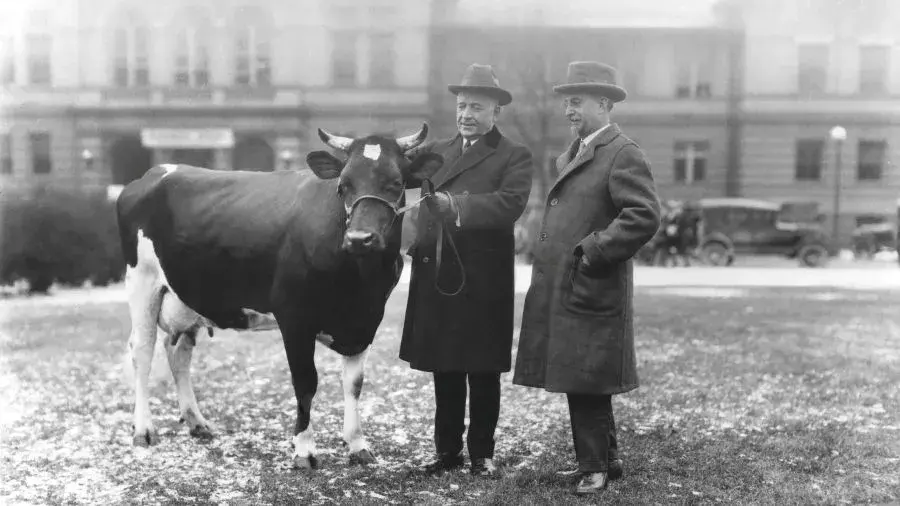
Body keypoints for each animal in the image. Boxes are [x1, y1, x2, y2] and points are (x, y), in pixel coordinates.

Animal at [115, 124, 443, 469]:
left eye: (395, 183)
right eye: (342, 186)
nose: (359, 238)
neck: (359, 283)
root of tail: (153, 173)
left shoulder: (366, 320)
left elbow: (354, 384)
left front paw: (357, 445)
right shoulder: (294, 317)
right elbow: (305, 382)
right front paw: (304, 449)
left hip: (187, 297)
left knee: (177, 351)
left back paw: (197, 422)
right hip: (142, 282)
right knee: (142, 351)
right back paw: (144, 430)